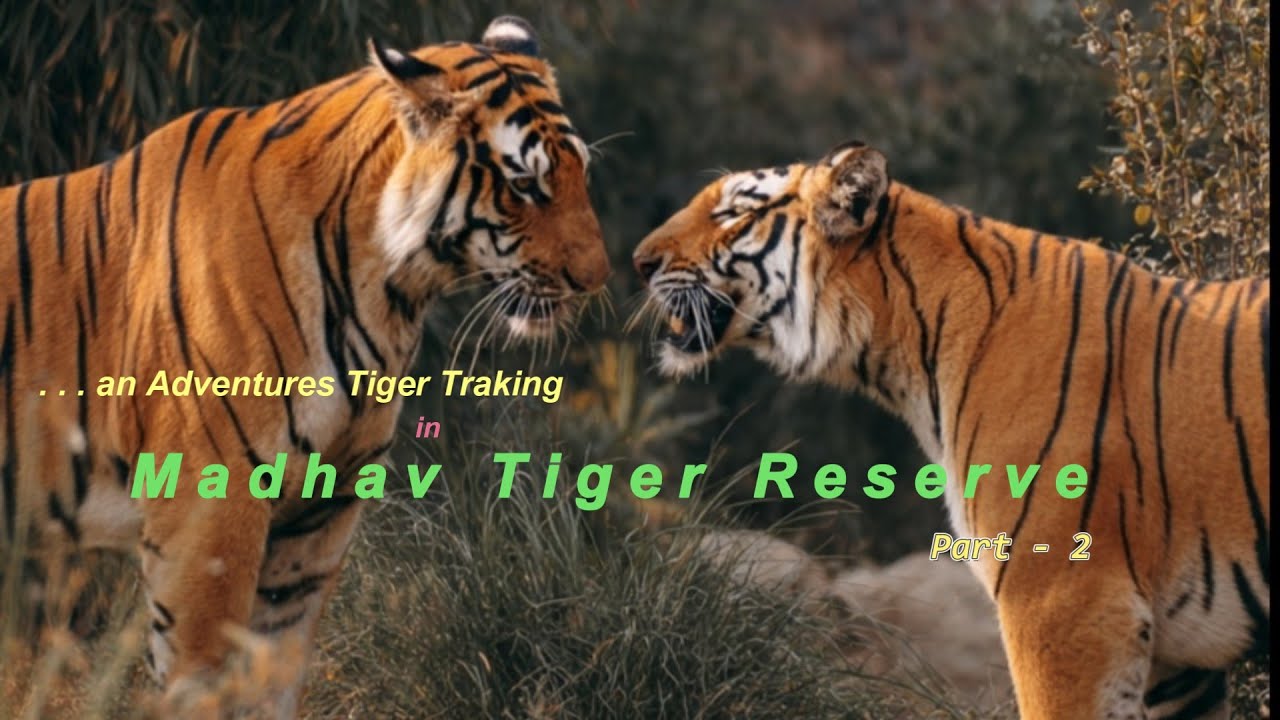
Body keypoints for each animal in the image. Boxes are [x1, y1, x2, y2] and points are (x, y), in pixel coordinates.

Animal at [0, 15, 608, 717]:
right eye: (525, 185)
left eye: (580, 174)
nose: (598, 279)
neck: (387, 293)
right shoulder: (207, 514)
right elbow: (202, 679)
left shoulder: (316, 519)